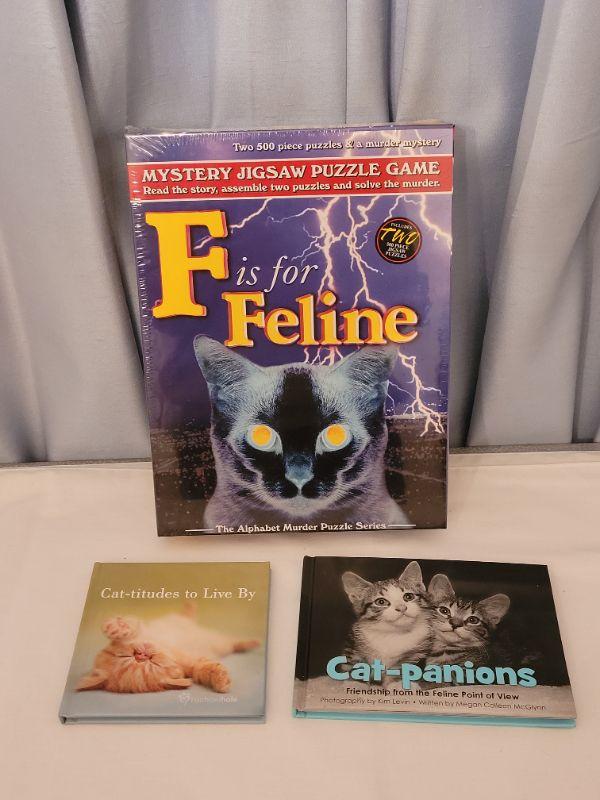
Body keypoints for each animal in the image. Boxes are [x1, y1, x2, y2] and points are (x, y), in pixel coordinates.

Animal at [76, 604, 259, 694]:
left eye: (128, 656)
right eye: (152, 663)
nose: (142, 654)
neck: (166, 648)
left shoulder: (142, 628)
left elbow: (131, 627)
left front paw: (115, 628)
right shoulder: (193, 666)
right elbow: (205, 668)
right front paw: (221, 680)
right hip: (222, 644)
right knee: (233, 642)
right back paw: (250, 643)